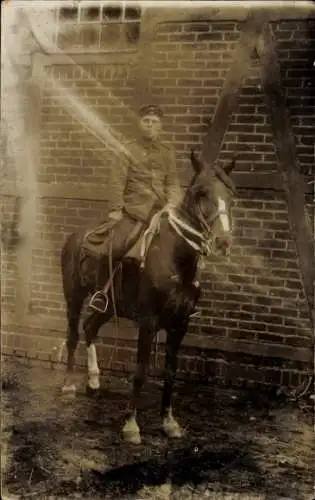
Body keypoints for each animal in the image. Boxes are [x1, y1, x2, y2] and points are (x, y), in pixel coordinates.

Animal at [59, 149, 237, 446]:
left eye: (231, 194)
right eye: (201, 192)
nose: (223, 242)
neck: (175, 258)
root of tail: (75, 235)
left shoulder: (180, 325)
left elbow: (170, 373)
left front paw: (169, 422)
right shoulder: (149, 322)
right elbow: (141, 372)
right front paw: (131, 426)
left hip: (108, 305)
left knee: (90, 327)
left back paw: (93, 381)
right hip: (73, 297)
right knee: (73, 334)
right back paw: (69, 384)